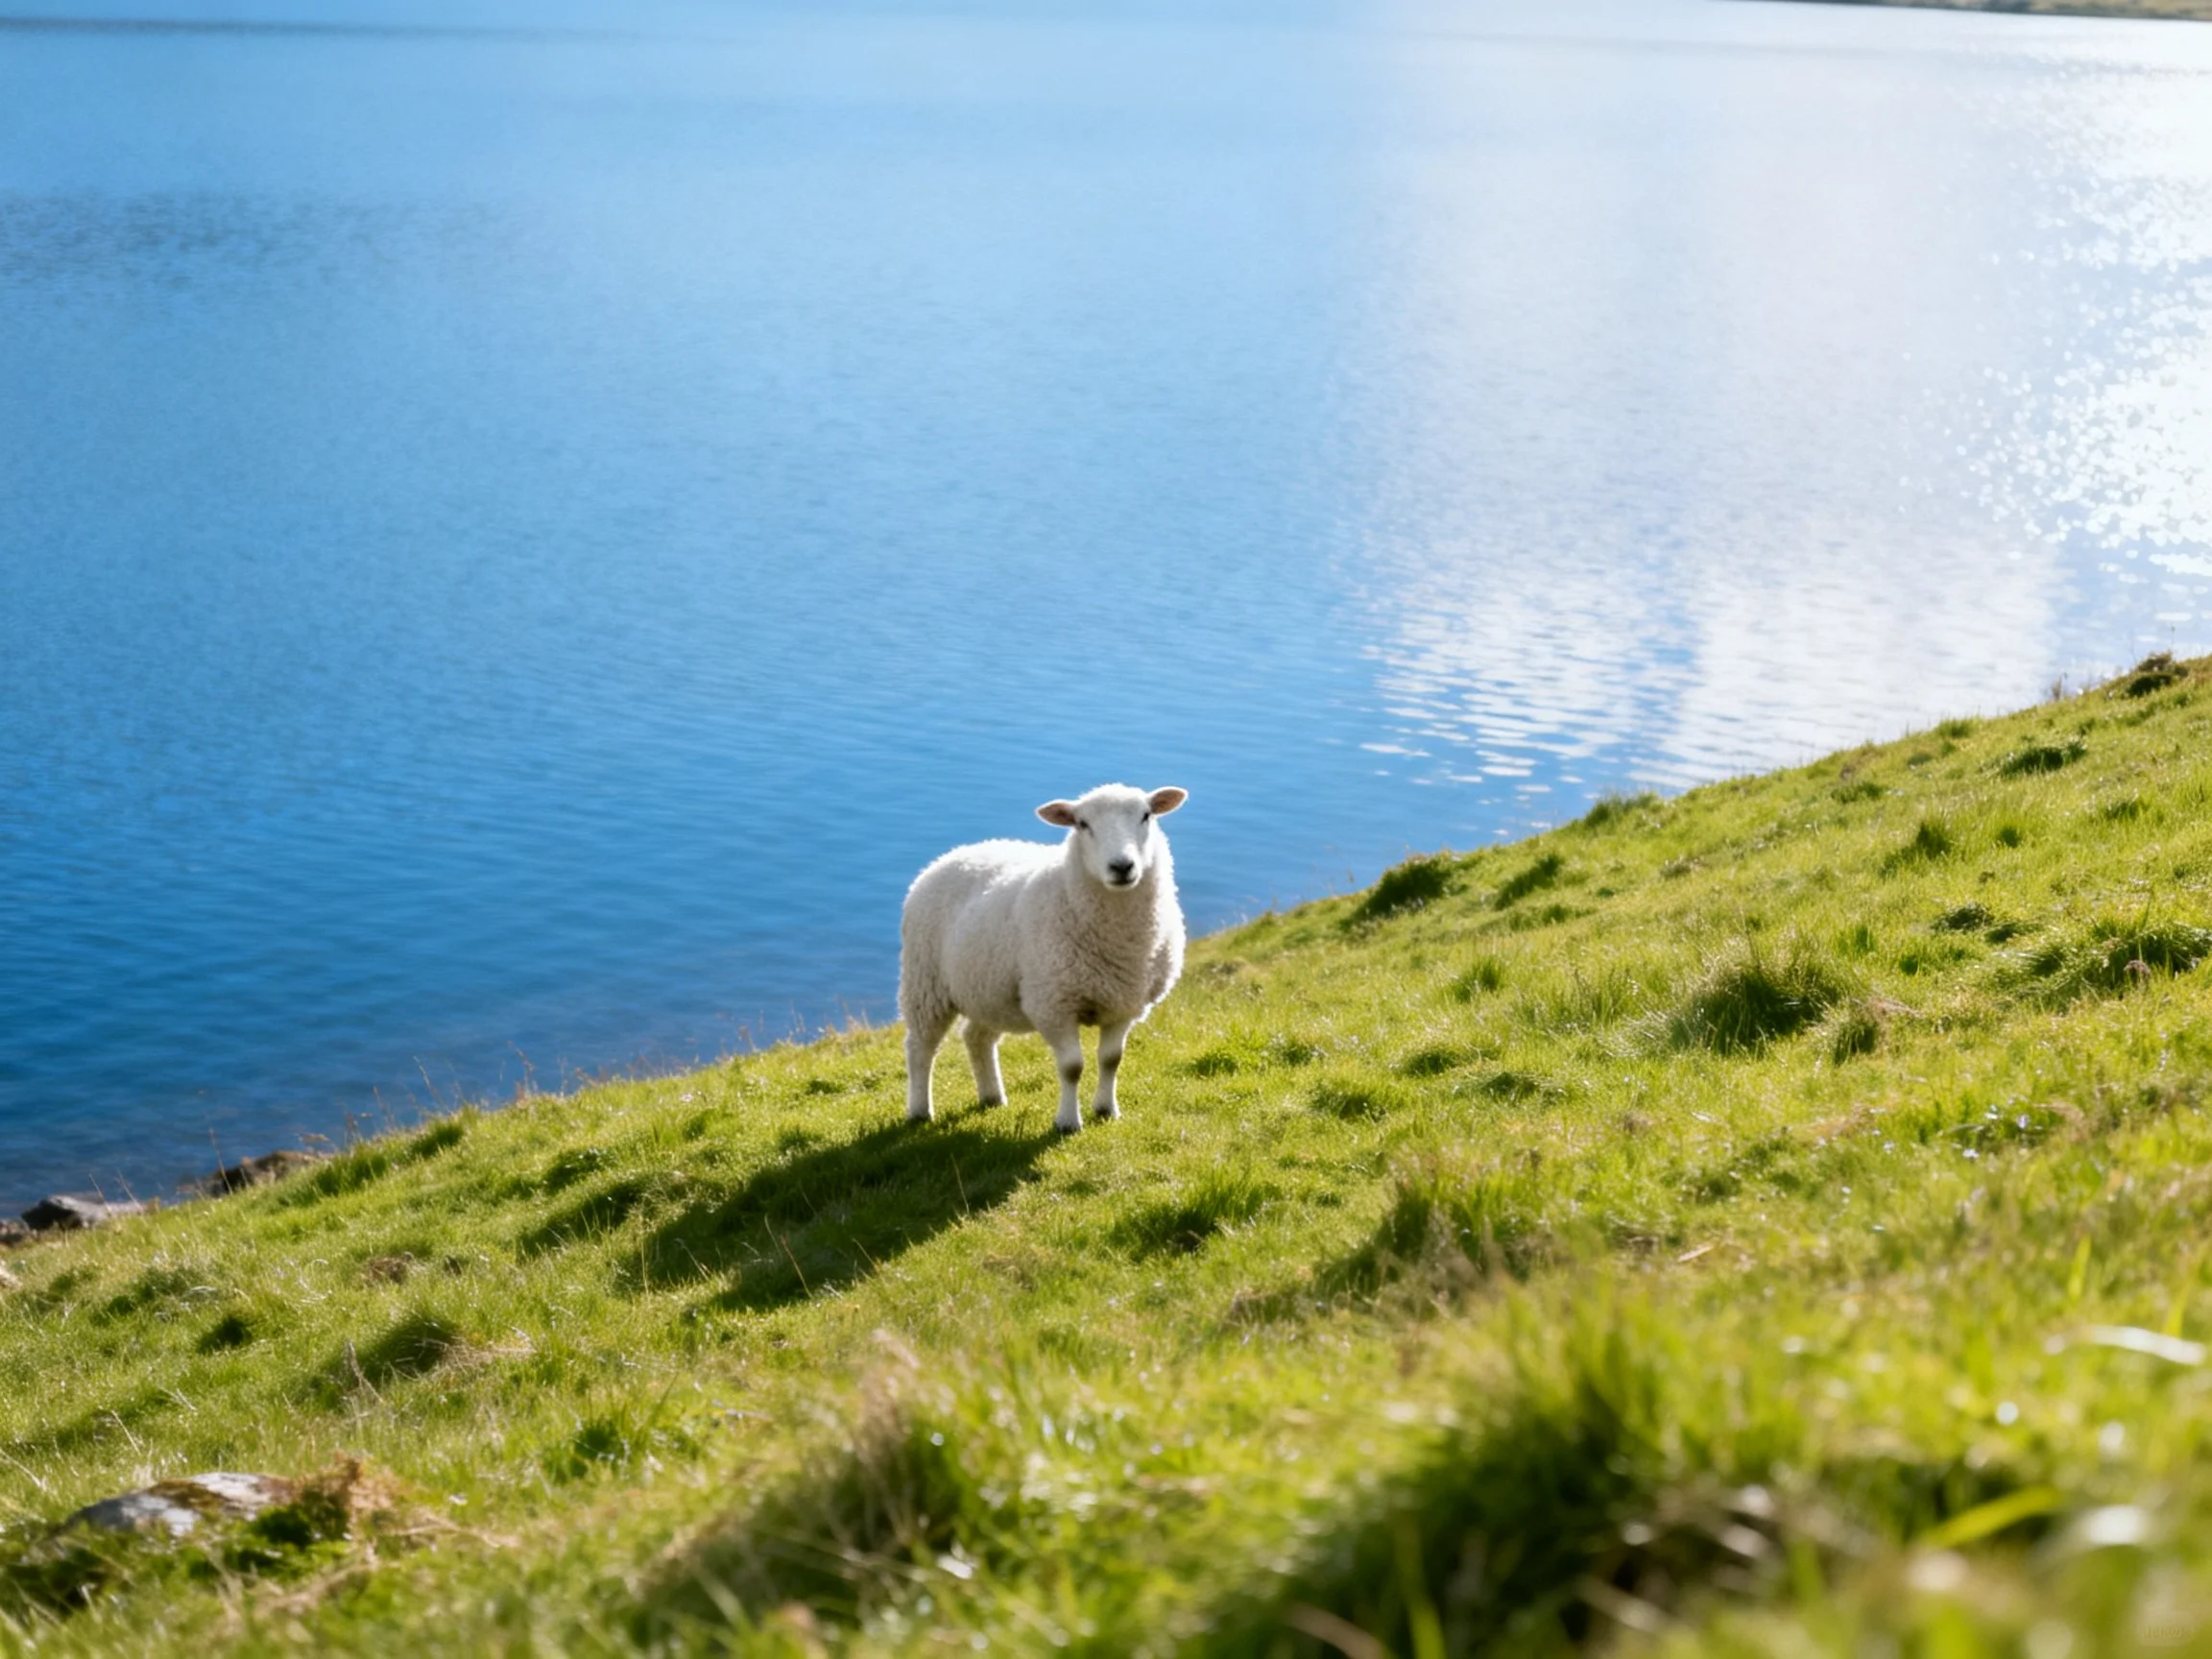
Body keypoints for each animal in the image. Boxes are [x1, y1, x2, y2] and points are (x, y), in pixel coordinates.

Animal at [900, 784, 1189, 1133]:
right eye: (1082, 824)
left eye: (1146, 816)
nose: (1122, 867)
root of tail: (954, 854)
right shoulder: (1054, 1004)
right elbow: (1072, 1067)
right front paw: (1067, 1122)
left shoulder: (1124, 1004)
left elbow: (1111, 1060)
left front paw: (1107, 1110)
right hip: (925, 982)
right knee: (920, 1048)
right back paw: (920, 1110)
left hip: (989, 989)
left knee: (976, 1038)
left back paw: (992, 1097)